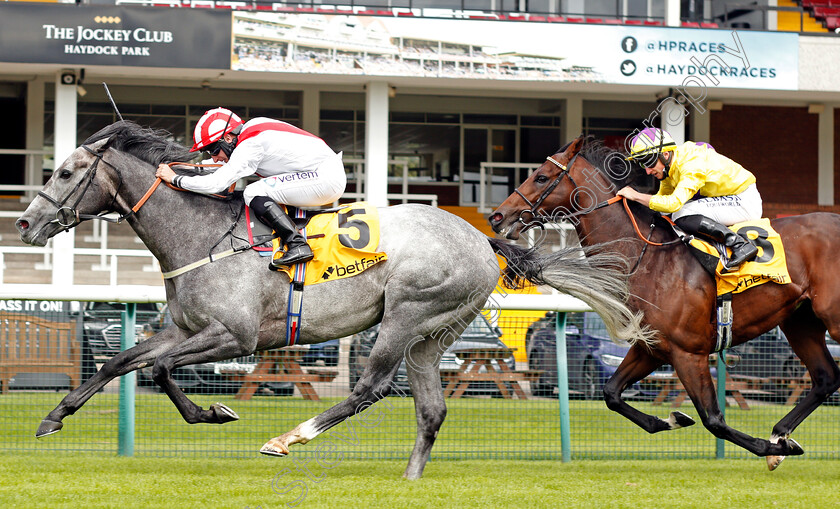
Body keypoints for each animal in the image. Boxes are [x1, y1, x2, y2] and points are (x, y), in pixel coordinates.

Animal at [13, 121, 648, 478]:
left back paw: (287, 439)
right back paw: (409, 480)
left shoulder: (233, 335)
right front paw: (52, 418)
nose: (23, 223)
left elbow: (162, 371)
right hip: (432, 336)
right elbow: (120, 362)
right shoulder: (185, 329)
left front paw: (213, 412)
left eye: (66, 172)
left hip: (405, 317)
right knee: (431, 408)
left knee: (369, 389)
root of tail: (478, 236)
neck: (200, 233)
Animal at [488, 135, 840, 468]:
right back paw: (780, 432)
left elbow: (714, 420)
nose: (496, 215)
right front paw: (672, 419)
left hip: (831, 319)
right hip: (801, 322)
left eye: (542, 177)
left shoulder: (689, 352)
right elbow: (611, 393)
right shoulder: (653, 347)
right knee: (826, 378)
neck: (648, 258)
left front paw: (773, 449)